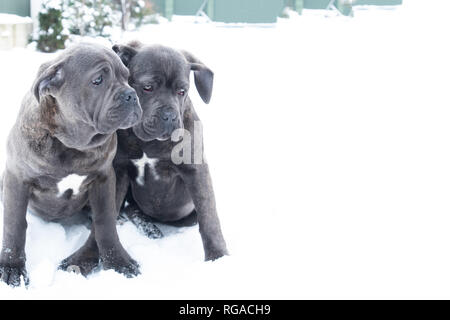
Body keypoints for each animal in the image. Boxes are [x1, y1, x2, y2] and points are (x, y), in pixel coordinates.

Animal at [0, 43, 142, 288]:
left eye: (127, 77)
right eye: (98, 80)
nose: (131, 95)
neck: (73, 144)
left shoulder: (104, 178)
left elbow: (105, 221)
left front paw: (118, 261)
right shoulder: (16, 177)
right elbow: (14, 224)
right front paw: (11, 268)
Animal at [110, 42, 227, 262]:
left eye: (182, 91)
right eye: (147, 87)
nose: (169, 116)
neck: (148, 143)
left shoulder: (196, 171)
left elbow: (209, 217)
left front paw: (218, 255)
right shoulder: (119, 169)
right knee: (130, 208)